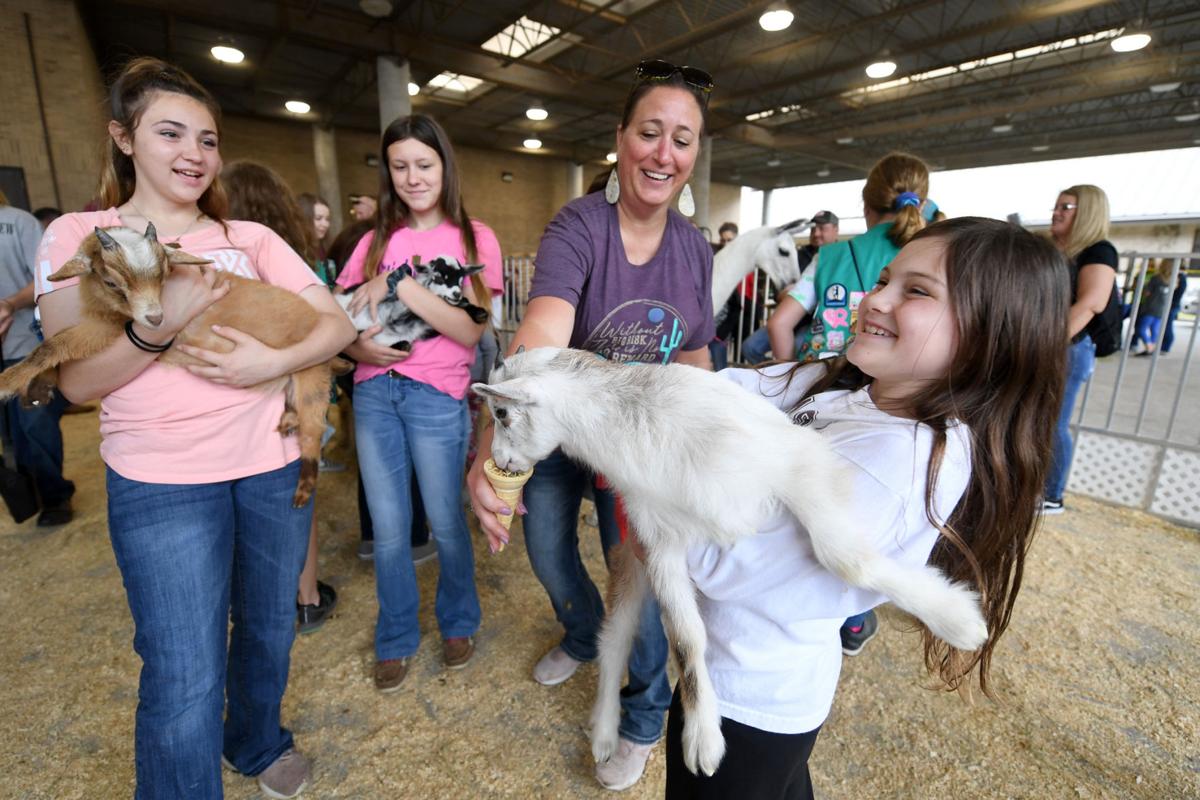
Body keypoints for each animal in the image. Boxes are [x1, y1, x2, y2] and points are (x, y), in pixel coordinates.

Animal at [0, 221, 348, 503]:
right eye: (112, 282)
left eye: (164, 273)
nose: (156, 319)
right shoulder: (110, 321)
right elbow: (58, 347)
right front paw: (38, 388)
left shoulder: (113, 327)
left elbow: (57, 344)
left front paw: (7, 382)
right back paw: (288, 420)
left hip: (312, 378)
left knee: (313, 430)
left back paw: (303, 488)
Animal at [472, 347, 988, 777]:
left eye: (502, 412)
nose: (499, 461)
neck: (639, 421)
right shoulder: (657, 542)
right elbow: (687, 640)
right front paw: (703, 739)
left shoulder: (794, 464)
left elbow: (844, 559)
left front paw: (959, 621)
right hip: (629, 566)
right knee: (614, 641)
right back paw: (602, 732)